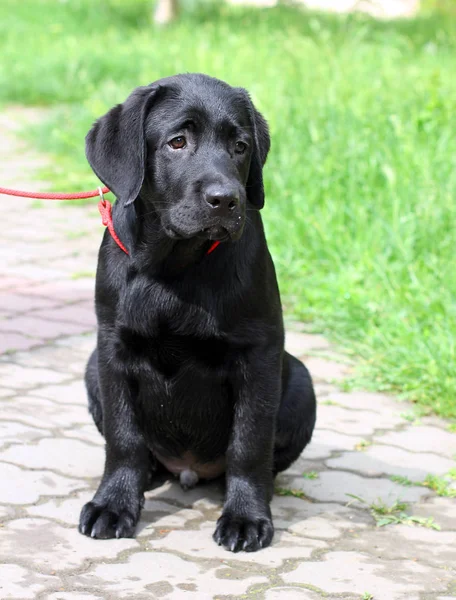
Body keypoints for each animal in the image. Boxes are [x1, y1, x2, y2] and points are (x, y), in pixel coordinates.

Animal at [78, 72, 316, 552]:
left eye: (240, 147)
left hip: (302, 382)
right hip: (92, 368)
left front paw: (246, 517)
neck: (173, 266)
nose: (227, 200)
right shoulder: (111, 350)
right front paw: (113, 504)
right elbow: (123, 438)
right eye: (177, 142)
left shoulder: (259, 352)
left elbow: (249, 442)